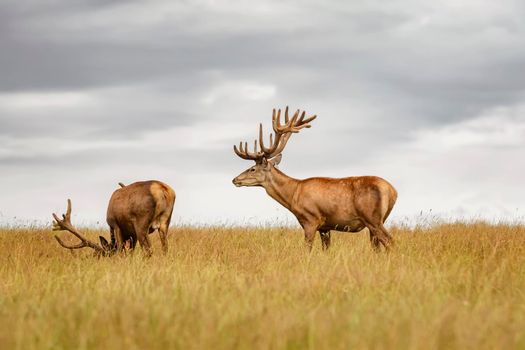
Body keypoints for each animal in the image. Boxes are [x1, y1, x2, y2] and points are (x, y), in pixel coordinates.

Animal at [231, 107, 396, 252]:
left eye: (252, 169)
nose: (235, 180)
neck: (293, 195)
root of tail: (392, 191)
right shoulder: (325, 227)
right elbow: (326, 250)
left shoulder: (310, 219)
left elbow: (307, 249)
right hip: (379, 220)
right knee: (377, 247)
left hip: (372, 218)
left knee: (389, 241)